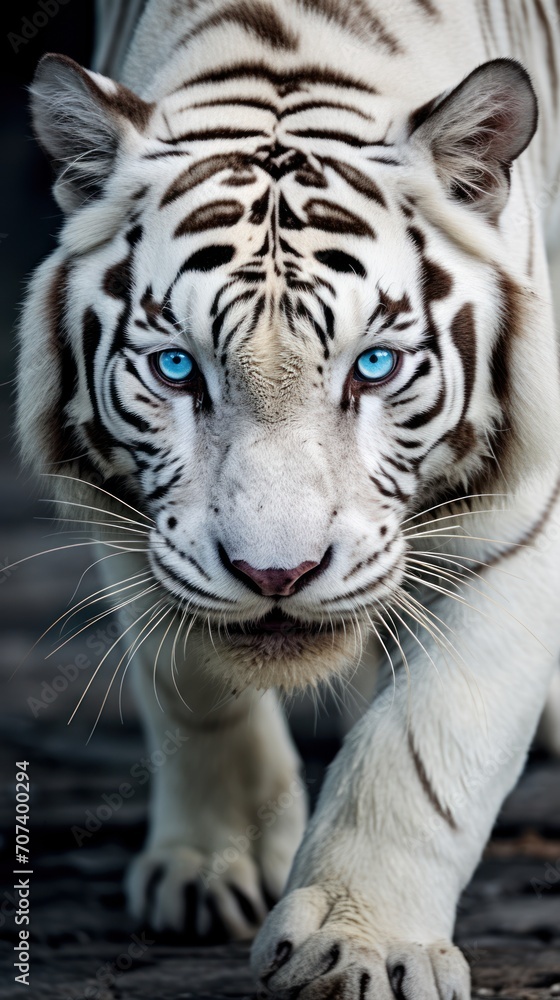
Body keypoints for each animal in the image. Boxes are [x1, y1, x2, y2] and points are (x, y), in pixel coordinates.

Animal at [16, 0, 560, 996]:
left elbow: (423, 745)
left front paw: (358, 943)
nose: (279, 574)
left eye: (374, 365)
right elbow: (191, 683)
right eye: (176, 367)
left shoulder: (522, 518)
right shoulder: (134, 522)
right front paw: (214, 865)